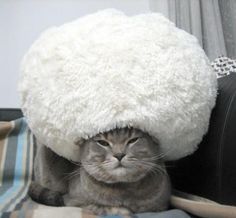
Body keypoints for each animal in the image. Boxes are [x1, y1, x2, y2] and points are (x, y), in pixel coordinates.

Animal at [28, 127, 171, 215]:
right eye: (103, 143)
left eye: (133, 140)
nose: (119, 154)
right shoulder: (72, 201)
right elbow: (102, 207)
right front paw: (123, 211)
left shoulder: (161, 206)